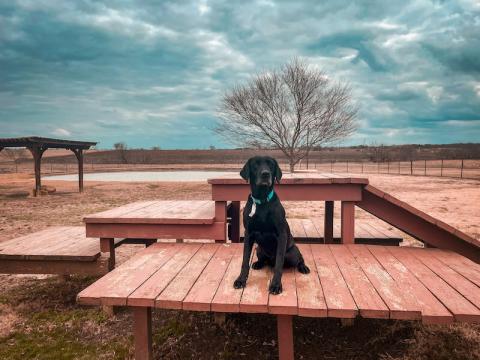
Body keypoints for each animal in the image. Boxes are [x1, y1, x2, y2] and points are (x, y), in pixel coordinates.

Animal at [233, 156, 312, 294]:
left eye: (271, 165)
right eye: (255, 164)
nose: (265, 174)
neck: (262, 201)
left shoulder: (281, 235)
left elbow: (279, 263)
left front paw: (276, 285)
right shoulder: (248, 234)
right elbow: (245, 260)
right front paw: (241, 280)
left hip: (292, 253)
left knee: (298, 259)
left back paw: (303, 267)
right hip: (259, 249)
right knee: (263, 259)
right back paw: (258, 263)